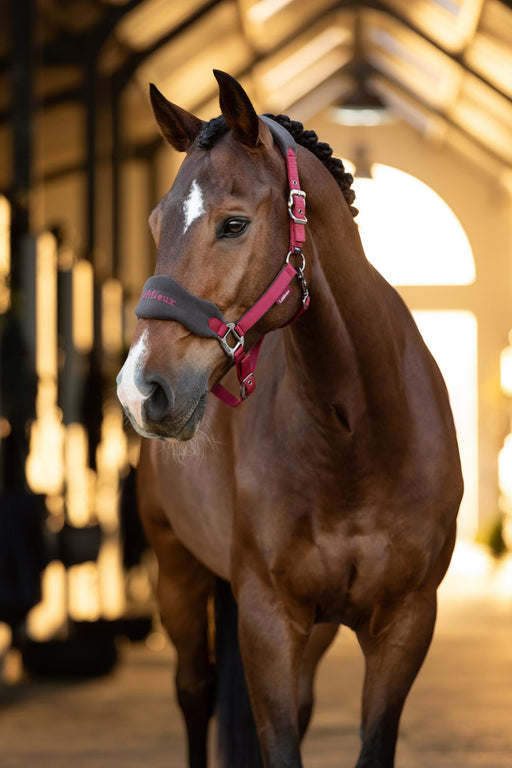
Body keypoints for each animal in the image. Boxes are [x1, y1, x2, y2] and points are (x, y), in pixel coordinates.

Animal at [117, 69, 464, 764]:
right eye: (155, 221)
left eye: (233, 224)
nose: (141, 390)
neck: (358, 440)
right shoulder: (267, 621)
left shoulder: (406, 624)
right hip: (179, 577)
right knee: (194, 694)